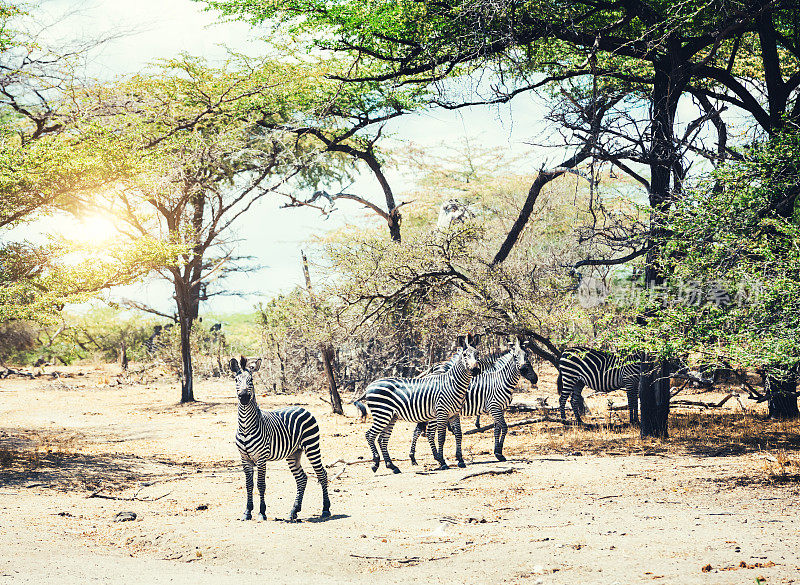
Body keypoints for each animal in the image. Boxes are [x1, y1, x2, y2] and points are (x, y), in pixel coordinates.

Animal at [228, 356, 332, 520]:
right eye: (236, 380)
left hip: (312, 446)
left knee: (322, 474)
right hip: (293, 453)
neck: (245, 426)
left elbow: (261, 484)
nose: (244, 397)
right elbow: (249, 485)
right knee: (302, 478)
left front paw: (262, 512)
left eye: (251, 380)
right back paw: (294, 511)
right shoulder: (244, 458)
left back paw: (326, 509)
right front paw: (247, 512)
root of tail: (302, 408)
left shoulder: (261, 458)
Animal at [356, 330, 482, 472]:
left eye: (477, 354)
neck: (452, 384)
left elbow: (459, 434)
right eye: (465, 355)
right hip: (382, 414)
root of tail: (369, 386)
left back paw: (392, 466)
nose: (475, 370)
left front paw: (460, 460)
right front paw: (442, 461)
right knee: (370, 435)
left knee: (383, 438)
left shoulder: (454, 414)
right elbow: (441, 437)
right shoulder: (442, 412)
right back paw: (376, 463)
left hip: (391, 416)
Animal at [412, 338, 536, 466]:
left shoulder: (500, 409)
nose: (535, 379)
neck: (501, 380)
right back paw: (435, 457)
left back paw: (414, 458)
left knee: (417, 431)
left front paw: (498, 452)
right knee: (428, 433)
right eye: (516, 356)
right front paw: (499, 452)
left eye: (527, 357)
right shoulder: (494, 407)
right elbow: (504, 427)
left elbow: (497, 429)